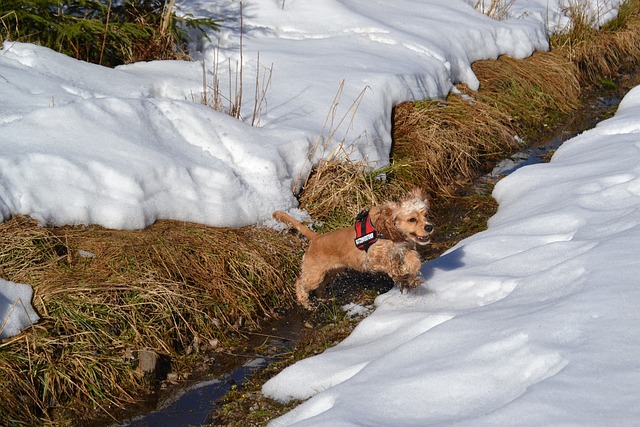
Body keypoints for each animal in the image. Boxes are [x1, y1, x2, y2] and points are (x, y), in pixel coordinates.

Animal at [272, 189, 432, 310]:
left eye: (426, 215)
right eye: (412, 219)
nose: (429, 227)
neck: (386, 232)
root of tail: (316, 237)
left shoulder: (405, 249)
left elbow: (414, 260)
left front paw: (411, 275)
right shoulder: (372, 259)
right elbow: (390, 264)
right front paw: (400, 274)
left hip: (330, 273)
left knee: (319, 289)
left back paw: (326, 299)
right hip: (314, 275)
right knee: (300, 283)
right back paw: (306, 303)